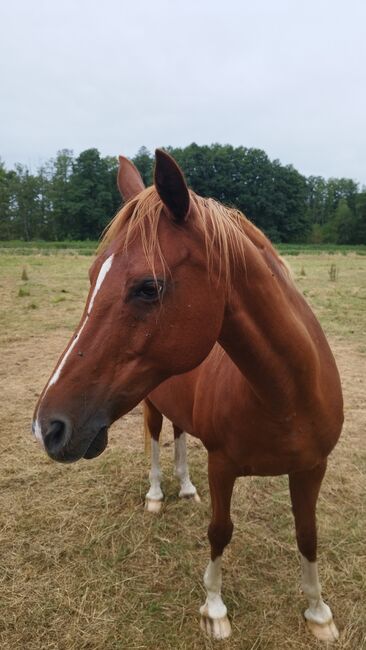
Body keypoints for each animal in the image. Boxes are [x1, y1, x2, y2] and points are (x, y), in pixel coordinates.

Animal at [32, 149, 344, 640]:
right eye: (91, 276)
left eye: (148, 287)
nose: (48, 427)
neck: (287, 397)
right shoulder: (223, 465)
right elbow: (220, 530)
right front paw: (214, 608)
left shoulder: (313, 468)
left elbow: (308, 535)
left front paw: (318, 613)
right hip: (151, 407)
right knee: (159, 443)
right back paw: (158, 494)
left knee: (179, 437)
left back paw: (185, 486)